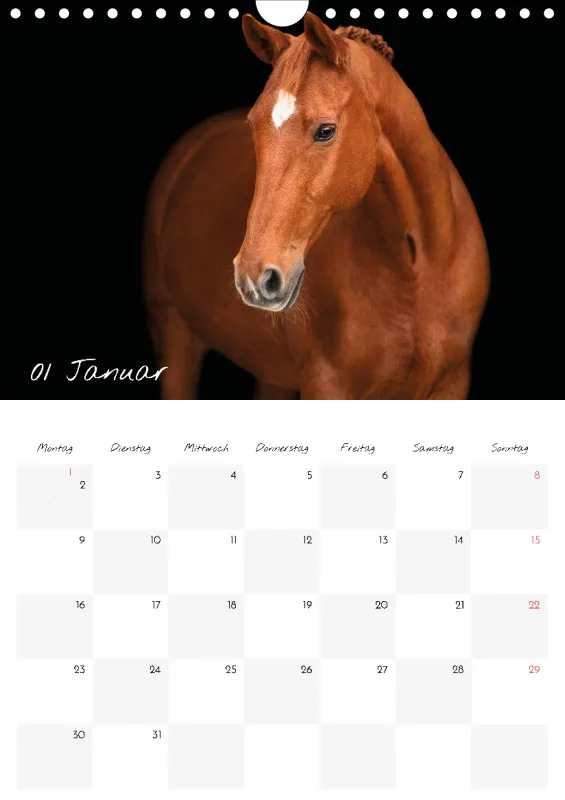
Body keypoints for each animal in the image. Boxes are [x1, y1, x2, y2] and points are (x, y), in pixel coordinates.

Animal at [144, 12, 489, 399]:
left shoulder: (452, 383)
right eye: (253, 124)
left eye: (326, 130)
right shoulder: (327, 385)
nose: (254, 277)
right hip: (173, 337)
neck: (417, 269)